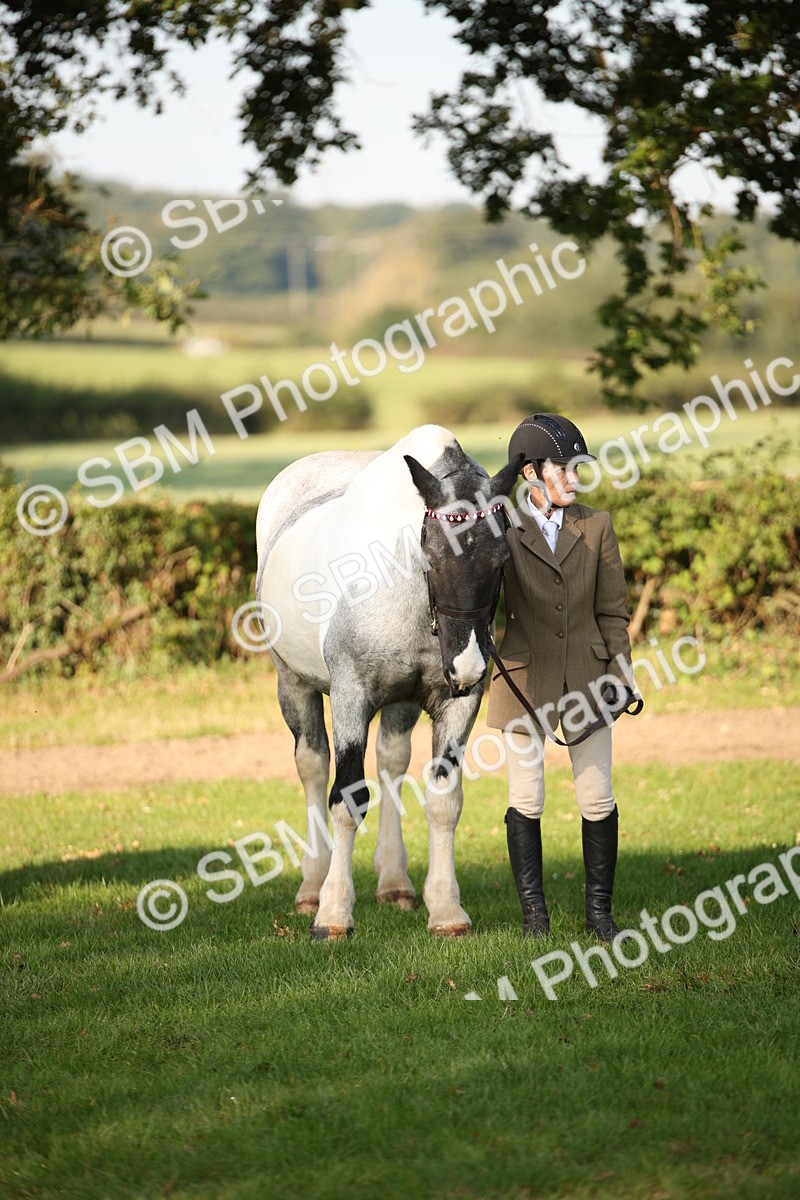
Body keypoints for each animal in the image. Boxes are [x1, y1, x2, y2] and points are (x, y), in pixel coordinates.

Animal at [255, 424, 523, 939]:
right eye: (432, 554)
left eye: (502, 558)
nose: (466, 666)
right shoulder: (350, 695)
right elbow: (347, 798)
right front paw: (333, 914)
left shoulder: (458, 703)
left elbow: (444, 799)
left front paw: (447, 910)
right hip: (292, 684)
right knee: (313, 767)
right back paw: (312, 886)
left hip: (402, 702)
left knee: (392, 761)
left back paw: (395, 882)